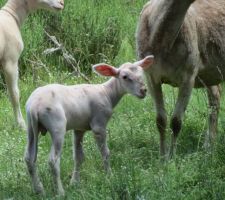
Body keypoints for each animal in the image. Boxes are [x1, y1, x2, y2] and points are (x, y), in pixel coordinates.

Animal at [24, 55, 155, 195]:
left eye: (141, 73)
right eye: (124, 76)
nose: (143, 90)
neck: (107, 93)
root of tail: (35, 105)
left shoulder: (79, 128)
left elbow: (78, 157)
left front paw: (75, 182)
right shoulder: (99, 124)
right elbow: (105, 153)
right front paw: (109, 177)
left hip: (31, 128)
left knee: (29, 158)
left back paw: (39, 190)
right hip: (57, 126)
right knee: (53, 160)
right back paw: (60, 192)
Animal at [136, 0, 224, 159]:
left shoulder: (189, 74)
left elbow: (176, 121)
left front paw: (172, 157)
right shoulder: (151, 76)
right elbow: (160, 120)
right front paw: (162, 157)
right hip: (210, 73)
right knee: (215, 96)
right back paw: (209, 147)